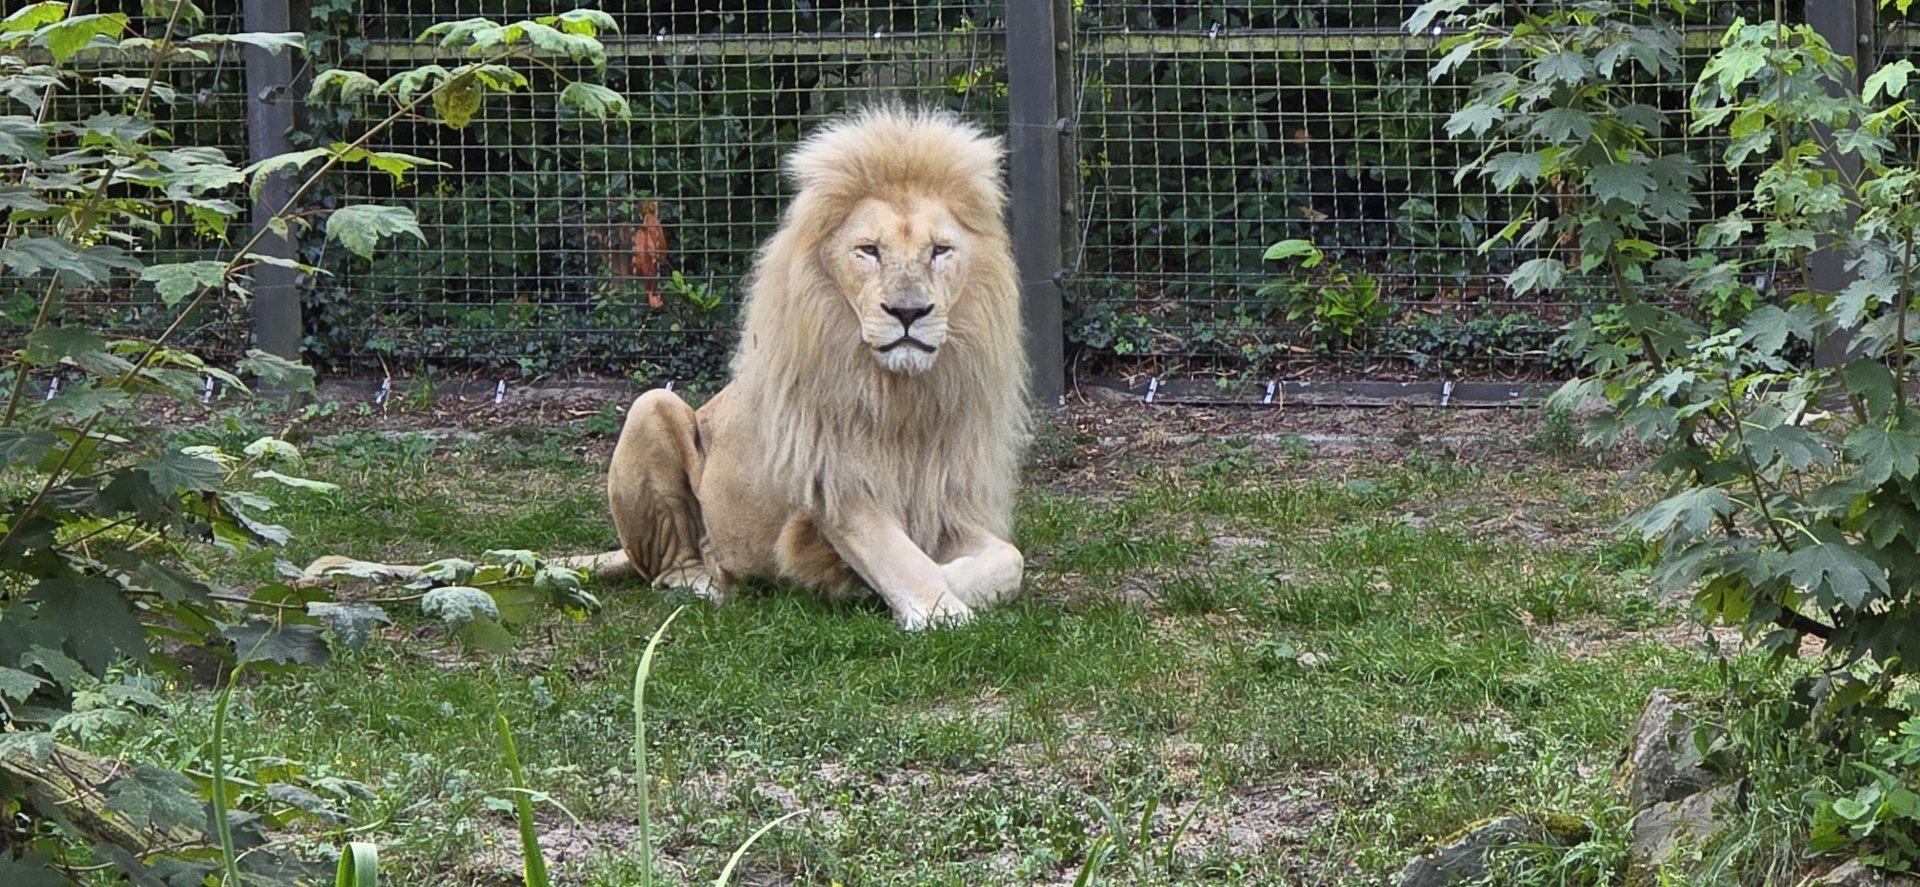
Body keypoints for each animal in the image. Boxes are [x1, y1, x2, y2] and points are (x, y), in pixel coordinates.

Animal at [309, 106, 1032, 630]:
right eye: (868, 251)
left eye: (940, 251)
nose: (908, 312)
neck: (901, 397)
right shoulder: (836, 488)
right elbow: (899, 560)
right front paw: (908, 599)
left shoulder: (949, 501)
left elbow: (1008, 558)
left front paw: (906, 584)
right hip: (650, 408)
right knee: (663, 566)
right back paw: (705, 579)